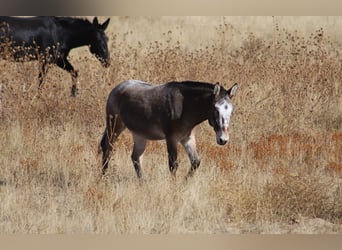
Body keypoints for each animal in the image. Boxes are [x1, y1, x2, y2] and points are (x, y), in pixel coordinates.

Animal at [100, 79, 236, 179]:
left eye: (231, 111)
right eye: (216, 109)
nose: (223, 140)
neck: (185, 106)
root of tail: (118, 88)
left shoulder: (187, 139)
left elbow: (195, 162)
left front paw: (184, 183)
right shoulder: (171, 138)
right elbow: (173, 165)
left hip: (139, 135)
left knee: (135, 157)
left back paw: (142, 182)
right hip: (114, 127)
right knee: (107, 149)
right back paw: (104, 176)